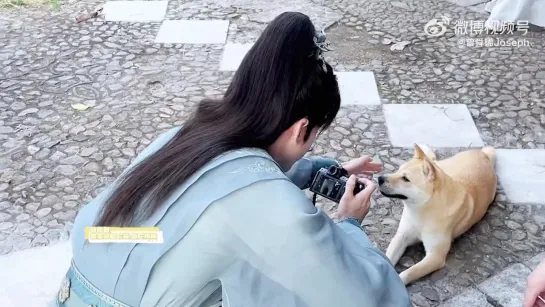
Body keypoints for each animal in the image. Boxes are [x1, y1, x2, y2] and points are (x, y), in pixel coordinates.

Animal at [376, 144, 496, 286]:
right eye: (397, 170)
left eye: (405, 179)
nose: (379, 179)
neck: (422, 210)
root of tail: (484, 155)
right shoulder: (402, 236)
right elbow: (387, 258)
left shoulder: (435, 257)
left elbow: (408, 273)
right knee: (433, 160)